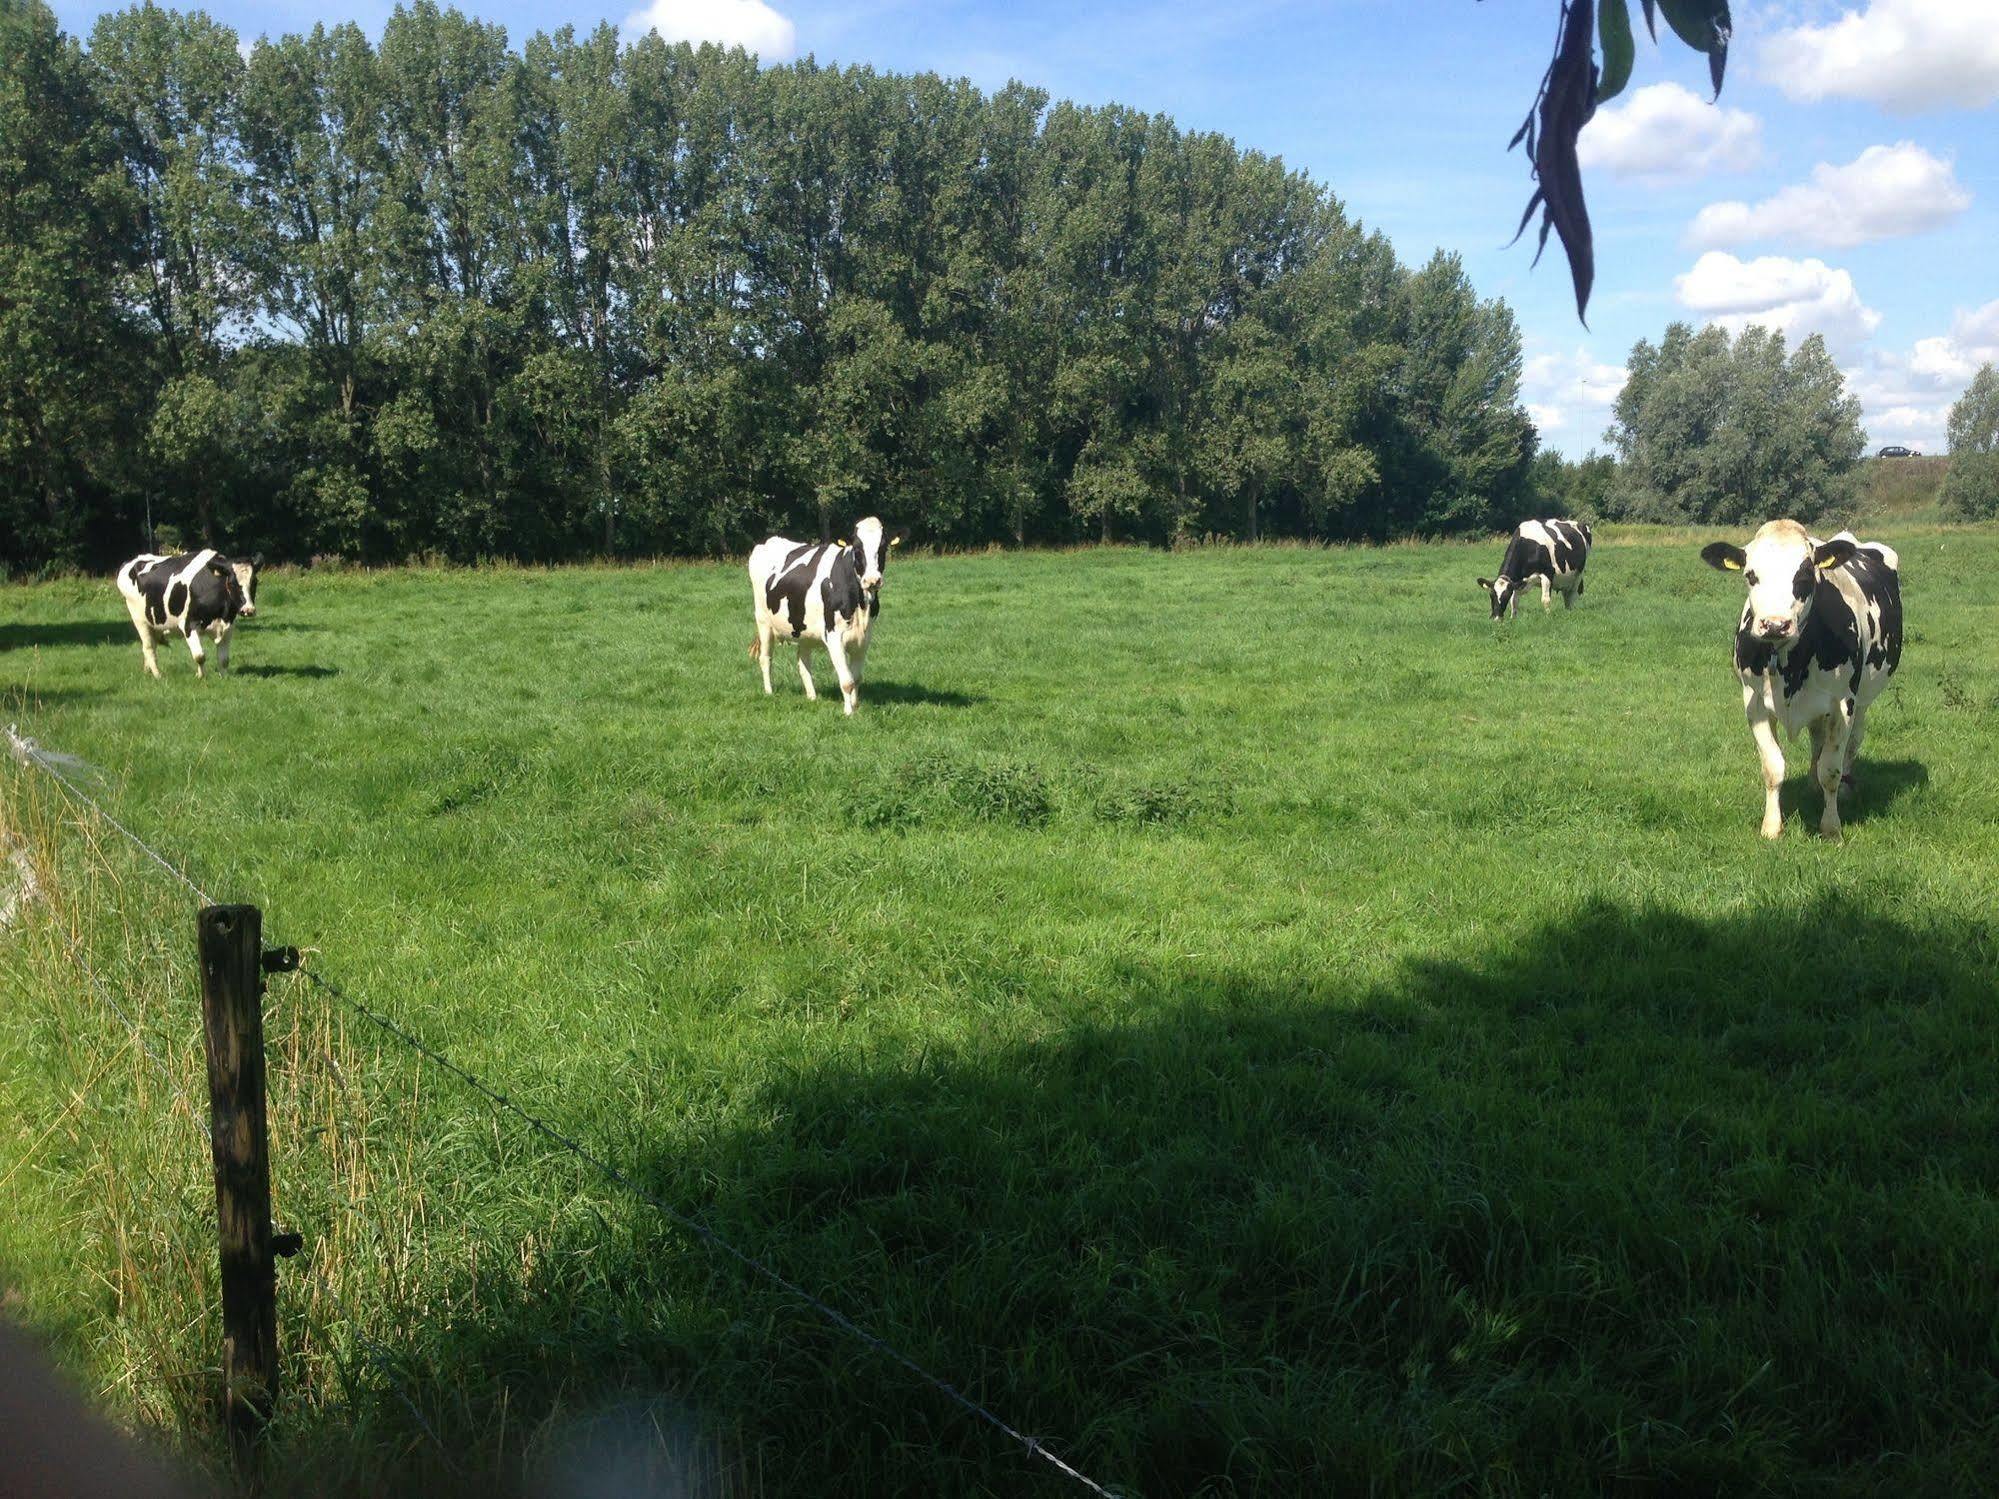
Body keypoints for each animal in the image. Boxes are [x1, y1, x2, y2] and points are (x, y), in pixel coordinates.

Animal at [116, 547, 259, 679]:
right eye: (232, 583)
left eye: (254, 582)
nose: (248, 610)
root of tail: (132, 561)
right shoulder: (188, 625)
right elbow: (200, 656)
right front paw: (200, 676)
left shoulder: (228, 625)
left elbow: (224, 660)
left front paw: (224, 677)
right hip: (139, 620)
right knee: (148, 648)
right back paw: (157, 675)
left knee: (152, 645)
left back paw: (147, 671)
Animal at [751, 515, 907, 715]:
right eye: (857, 549)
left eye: (883, 547)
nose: (873, 580)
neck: (859, 605)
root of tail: (770, 540)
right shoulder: (834, 637)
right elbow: (847, 681)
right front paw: (849, 712)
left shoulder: (864, 638)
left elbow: (856, 677)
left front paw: (855, 705)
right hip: (763, 621)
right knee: (765, 659)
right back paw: (769, 692)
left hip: (803, 629)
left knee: (803, 663)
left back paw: (812, 697)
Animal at [1703, 523, 1903, 839]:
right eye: (1750, 575)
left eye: (1806, 575)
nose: (1775, 624)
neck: (1790, 663)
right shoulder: (1754, 703)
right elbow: (1773, 767)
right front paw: (1771, 827)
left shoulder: (1842, 704)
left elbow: (1830, 770)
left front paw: (1831, 827)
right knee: (1816, 740)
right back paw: (1811, 784)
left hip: (1862, 699)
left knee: (1852, 744)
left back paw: (1845, 787)